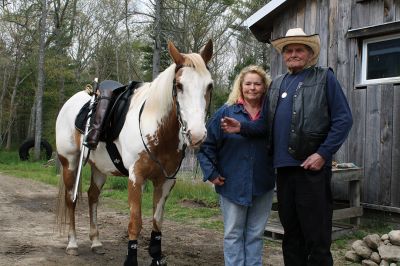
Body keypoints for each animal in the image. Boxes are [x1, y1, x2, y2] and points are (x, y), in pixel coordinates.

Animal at [55, 39, 216, 264]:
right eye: (179, 85)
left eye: (209, 85)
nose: (197, 135)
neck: (156, 127)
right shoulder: (135, 178)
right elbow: (135, 222)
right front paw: (131, 259)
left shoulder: (166, 181)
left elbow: (157, 221)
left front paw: (156, 255)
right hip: (69, 163)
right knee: (72, 198)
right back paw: (72, 244)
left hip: (99, 168)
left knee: (93, 196)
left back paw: (96, 242)